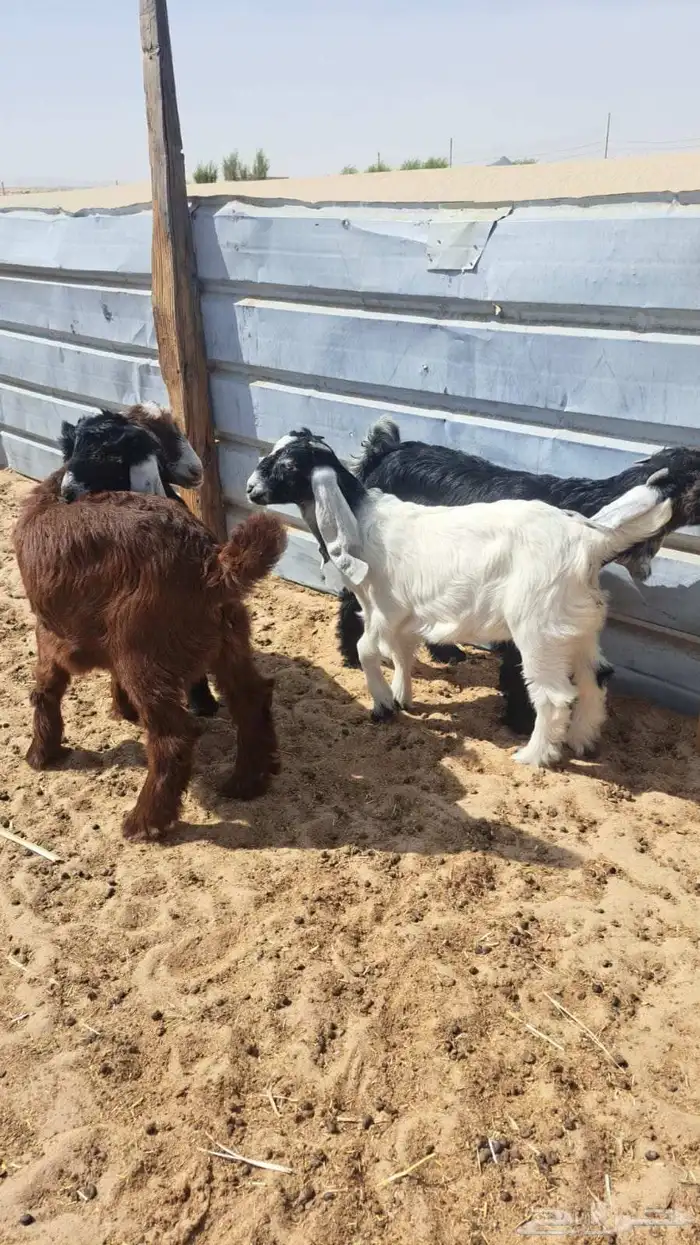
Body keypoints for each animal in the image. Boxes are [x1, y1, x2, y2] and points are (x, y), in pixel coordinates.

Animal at [13, 474, 287, 841]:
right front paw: (121, 709)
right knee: (251, 699)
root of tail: (209, 565)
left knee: (172, 739)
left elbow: (45, 692)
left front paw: (41, 754)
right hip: (229, 640)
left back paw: (144, 821)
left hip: (142, 655)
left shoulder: (50, 635)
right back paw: (246, 782)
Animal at [246, 430, 672, 768]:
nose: (250, 489)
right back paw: (582, 739)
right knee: (596, 676)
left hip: (539, 628)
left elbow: (368, 650)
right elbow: (402, 653)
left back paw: (534, 756)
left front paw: (383, 705)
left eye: (287, 465)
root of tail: (589, 541)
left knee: (553, 696)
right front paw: (403, 696)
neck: (363, 520)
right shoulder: (403, 613)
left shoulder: (386, 608)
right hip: (577, 624)